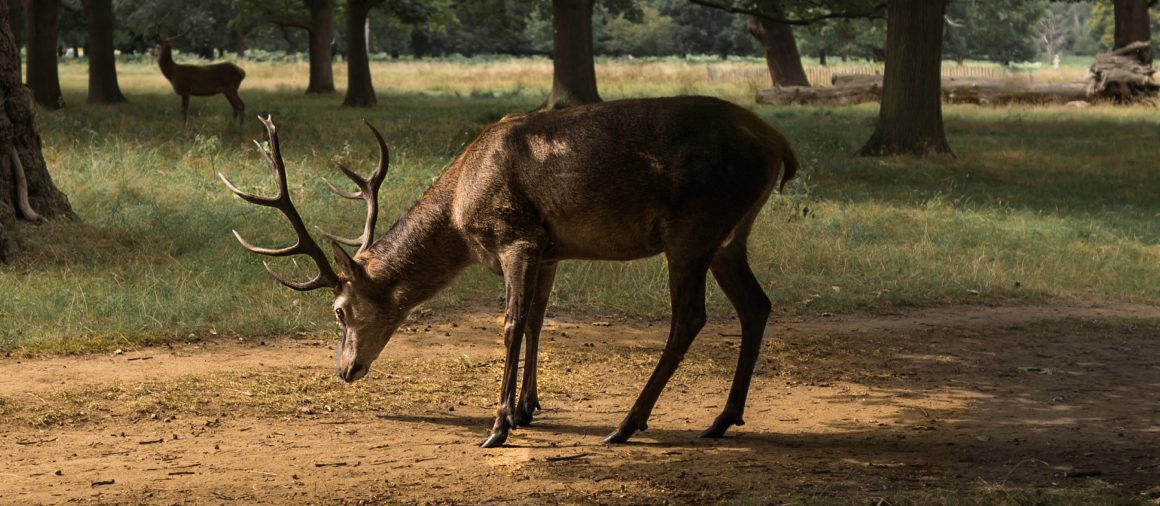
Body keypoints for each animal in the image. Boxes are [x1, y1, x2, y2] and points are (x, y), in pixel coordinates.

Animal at [219, 96, 798, 447]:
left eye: (339, 311)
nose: (344, 370)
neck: (460, 211)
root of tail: (779, 144)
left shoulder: (515, 237)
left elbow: (511, 324)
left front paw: (498, 424)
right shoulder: (550, 250)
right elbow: (539, 319)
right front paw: (526, 408)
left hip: (694, 228)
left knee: (690, 317)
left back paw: (628, 424)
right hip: (730, 236)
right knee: (757, 304)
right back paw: (722, 418)